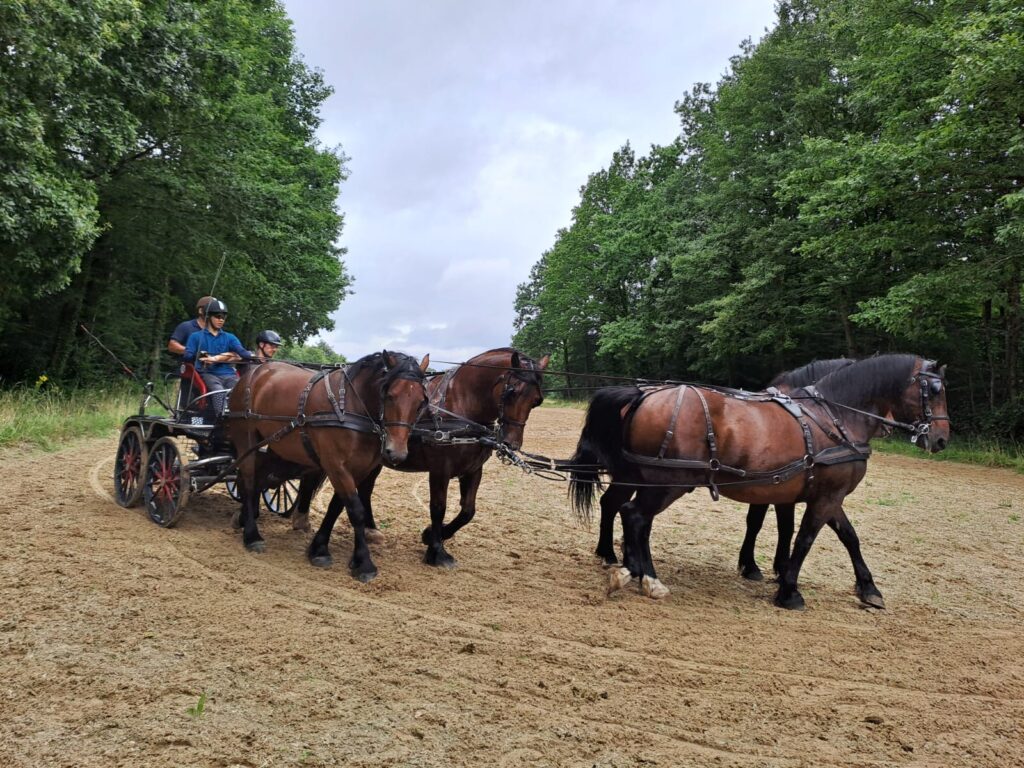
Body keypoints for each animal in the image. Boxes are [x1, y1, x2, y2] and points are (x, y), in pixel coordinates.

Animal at [227, 350, 428, 581]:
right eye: (390, 395)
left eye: (420, 402)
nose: (396, 452)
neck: (349, 406)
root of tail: (254, 372)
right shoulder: (336, 466)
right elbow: (356, 511)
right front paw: (364, 563)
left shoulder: (358, 469)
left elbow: (336, 507)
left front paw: (319, 548)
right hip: (246, 439)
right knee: (249, 480)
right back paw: (252, 535)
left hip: (275, 445)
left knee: (258, 478)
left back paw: (243, 518)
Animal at [299, 346, 548, 569]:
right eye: (511, 392)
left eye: (537, 400)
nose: (511, 443)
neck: (461, 404)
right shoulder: (440, 469)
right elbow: (438, 507)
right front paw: (436, 550)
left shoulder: (473, 470)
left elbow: (468, 511)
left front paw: (431, 536)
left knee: (365, 490)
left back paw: (371, 530)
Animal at [565, 356, 946, 614]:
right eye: (935, 390)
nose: (941, 439)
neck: (834, 417)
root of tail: (642, 395)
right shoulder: (823, 496)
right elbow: (802, 538)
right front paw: (788, 589)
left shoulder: (818, 494)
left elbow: (845, 536)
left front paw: (868, 588)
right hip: (668, 482)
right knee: (634, 516)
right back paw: (645, 576)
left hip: (644, 476)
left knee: (620, 509)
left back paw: (623, 562)